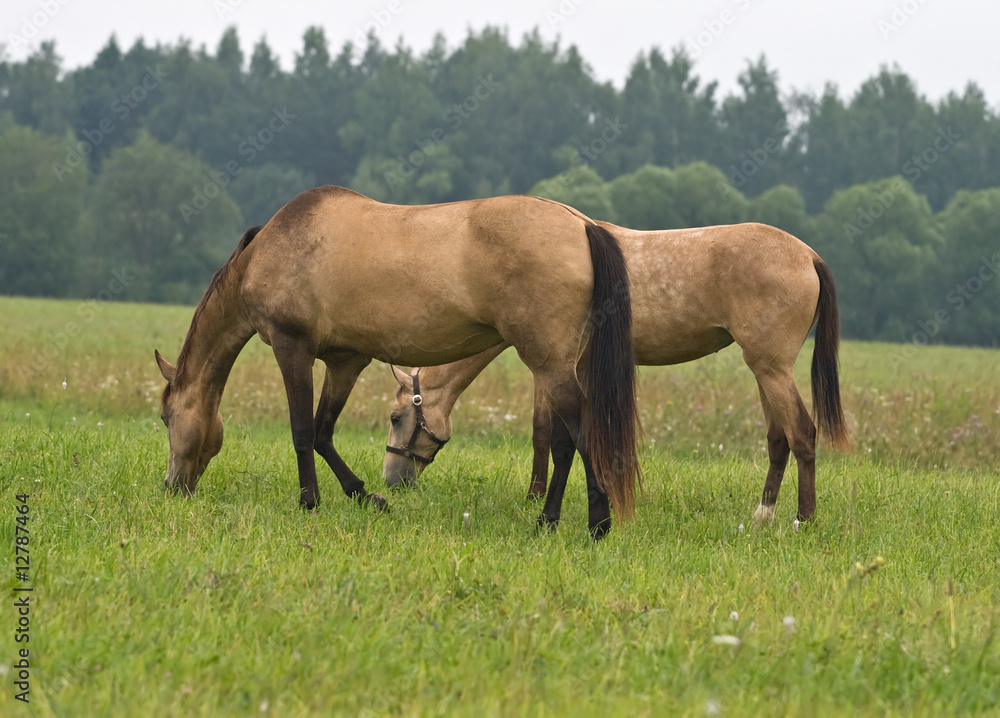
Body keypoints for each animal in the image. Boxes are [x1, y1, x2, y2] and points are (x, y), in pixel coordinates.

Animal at [156, 186, 640, 540]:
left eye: (164, 417)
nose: (171, 487)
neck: (271, 249)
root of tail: (581, 223)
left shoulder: (291, 347)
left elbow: (300, 431)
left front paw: (309, 501)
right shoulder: (346, 360)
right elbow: (322, 431)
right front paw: (365, 496)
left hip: (548, 363)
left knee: (583, 434)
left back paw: (596, 525)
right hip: (558, 366)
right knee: (564, 442)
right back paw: (549, 521)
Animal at [386, 225, 848, 528]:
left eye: (395, 418)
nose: (393, 481)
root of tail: (808, 254)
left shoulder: (553, 368)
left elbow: (546, 434)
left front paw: (537, 498)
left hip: (772, 369)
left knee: (803, 433)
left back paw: (804, 519)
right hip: (766, 370)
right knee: (778, 439)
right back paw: (763, 515)